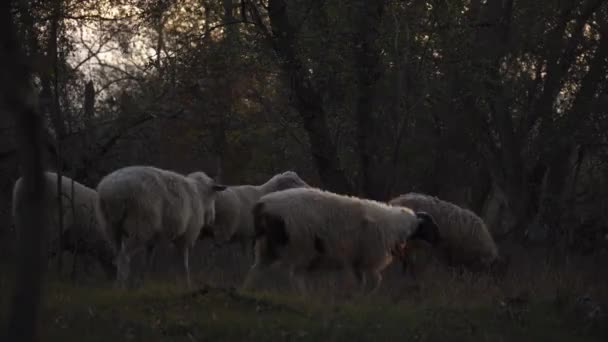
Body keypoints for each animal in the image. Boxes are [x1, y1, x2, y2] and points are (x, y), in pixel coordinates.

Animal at [97, 166, 226, 288]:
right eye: (214, 195)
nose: (212, 219)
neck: (200, 194)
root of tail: (112, 191)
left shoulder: (152, 241)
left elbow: (147, 263)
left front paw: (141, 285)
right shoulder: (186, 235)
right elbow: (184, 264)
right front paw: (186, 285)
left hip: (111, 227)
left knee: (118, 255)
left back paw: (117, 285)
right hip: (140, 226)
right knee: (124, 257)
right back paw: (121, 287)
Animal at [243, 187, 442, 294]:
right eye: (431, 226)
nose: (438, 239)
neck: (396, 225)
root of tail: (262, 205)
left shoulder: (357, 261)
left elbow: (361, 281)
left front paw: (357, 297)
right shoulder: (369, 259)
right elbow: (375, 281)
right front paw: (367, 297)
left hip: (267, 247)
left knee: (256, 270)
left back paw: (248, 289)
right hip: (298, 247)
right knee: (293, 275)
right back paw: (304, 295)